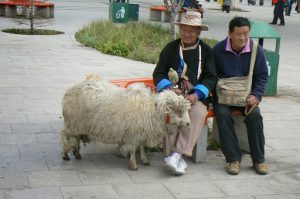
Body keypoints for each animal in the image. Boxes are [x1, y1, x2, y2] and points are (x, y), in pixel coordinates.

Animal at [61, 77, 191, 170]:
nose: (189, 123)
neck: (152, 110)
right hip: (72, 122)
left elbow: (142, 146)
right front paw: (133, 165)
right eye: (177, 110)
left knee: (76, 137)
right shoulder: (133, 132)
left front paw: (144, 160)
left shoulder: (141, 131)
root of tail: (70, 89)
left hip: (78, 124)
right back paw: (65, 155)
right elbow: (133, 149)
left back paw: (77, 153)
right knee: (65, 135)